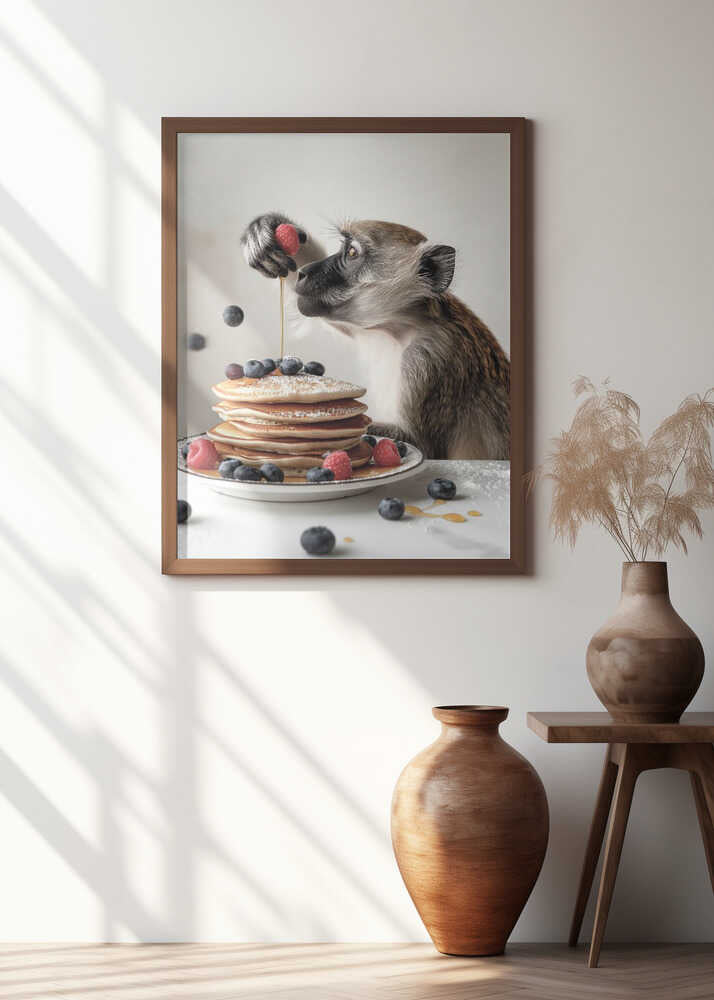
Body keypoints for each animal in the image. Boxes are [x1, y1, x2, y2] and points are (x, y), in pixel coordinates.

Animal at [240, 213, 510, 460]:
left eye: (351, 253)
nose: (305, 273)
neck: (403, 327)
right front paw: (266, 228)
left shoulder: (428, 359)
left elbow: (422, 446)